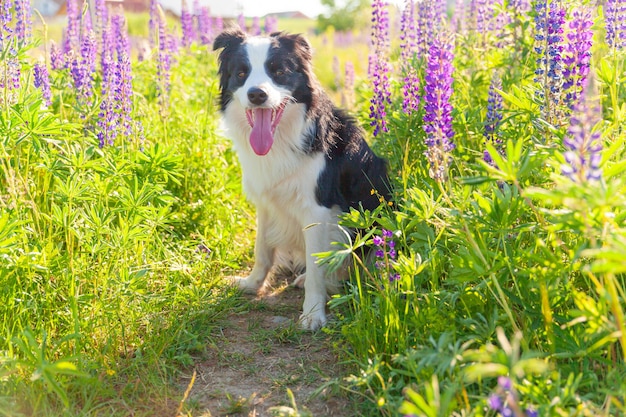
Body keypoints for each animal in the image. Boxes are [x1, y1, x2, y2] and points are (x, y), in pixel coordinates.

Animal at [214, 28, 390, 328]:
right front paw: (252, 284)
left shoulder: (317, 211)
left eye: (278, 71)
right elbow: (262, 250)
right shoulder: (266, 202)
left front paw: (313, 313)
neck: (282, 139)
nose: (257, 94)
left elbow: (318, 267)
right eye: (241, 73)